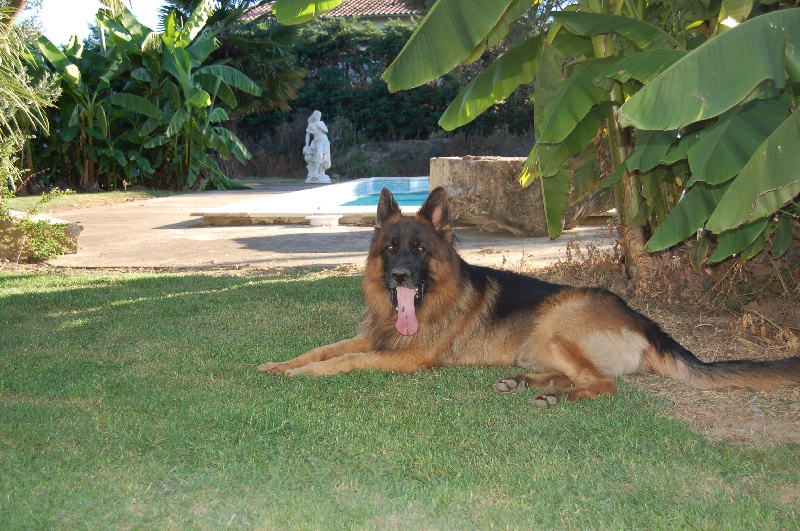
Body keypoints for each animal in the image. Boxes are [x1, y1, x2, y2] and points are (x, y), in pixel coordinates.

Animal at [260, 187, 796, 408]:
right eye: (391, 247)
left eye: (420, 250)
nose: (400, 276)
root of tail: (644, 320)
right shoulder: (372, 338)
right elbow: (323, 349)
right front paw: (281, 365)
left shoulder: (408, 358)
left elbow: (342, 362)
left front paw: (304, 375)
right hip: (537, 343)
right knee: (575, 374)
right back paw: (526, 383)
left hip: (557, 326)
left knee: (602, 383)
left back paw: (555, 397)